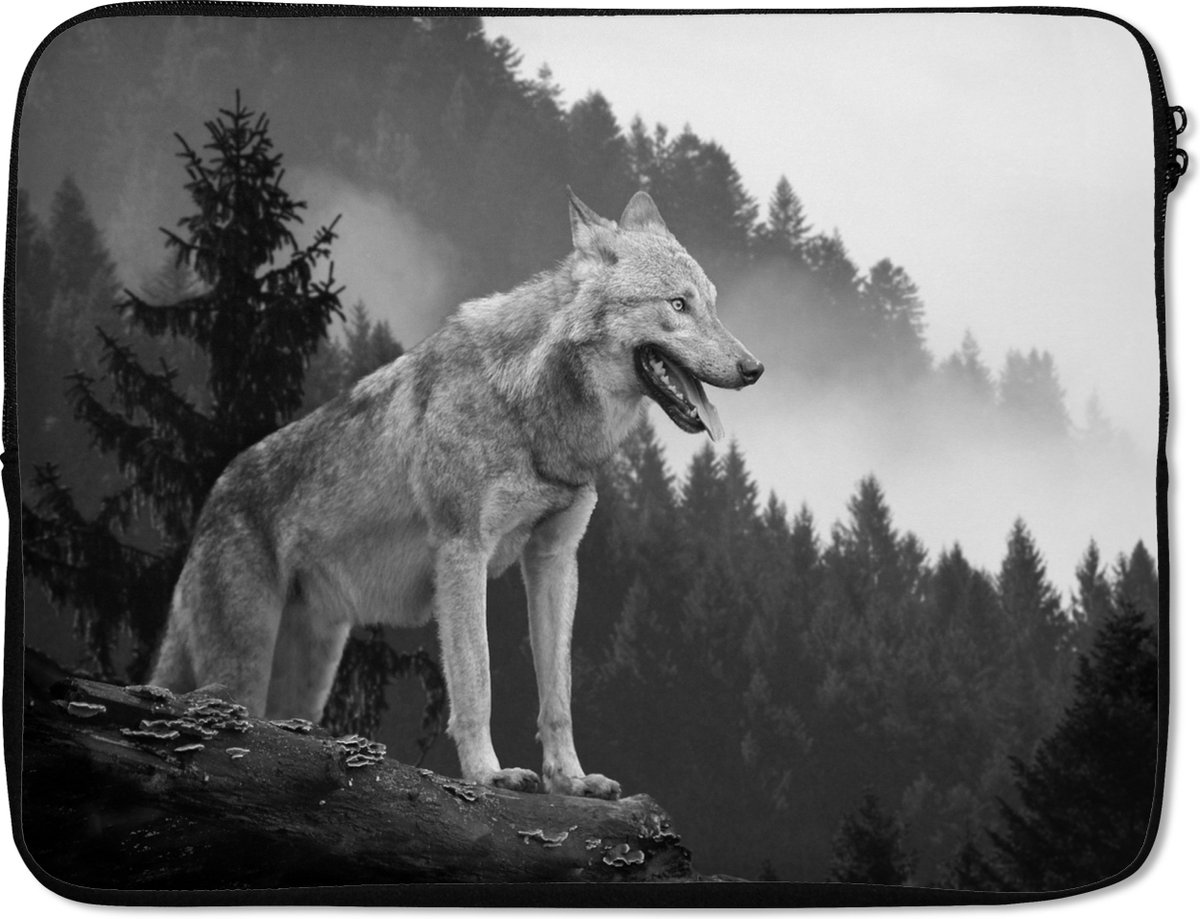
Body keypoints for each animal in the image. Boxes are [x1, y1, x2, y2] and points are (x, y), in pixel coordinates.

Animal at [151, 189, 763, 798]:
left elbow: (558, 695)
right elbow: (477, 681)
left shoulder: (556, 559)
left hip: (309, 676)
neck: (531, 409)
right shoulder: (463, 552)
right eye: (678, 304)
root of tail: (211, 501)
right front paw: (489, 773)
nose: (755, 367)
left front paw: (571, 779)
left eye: (712, 305)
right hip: (243, 671)